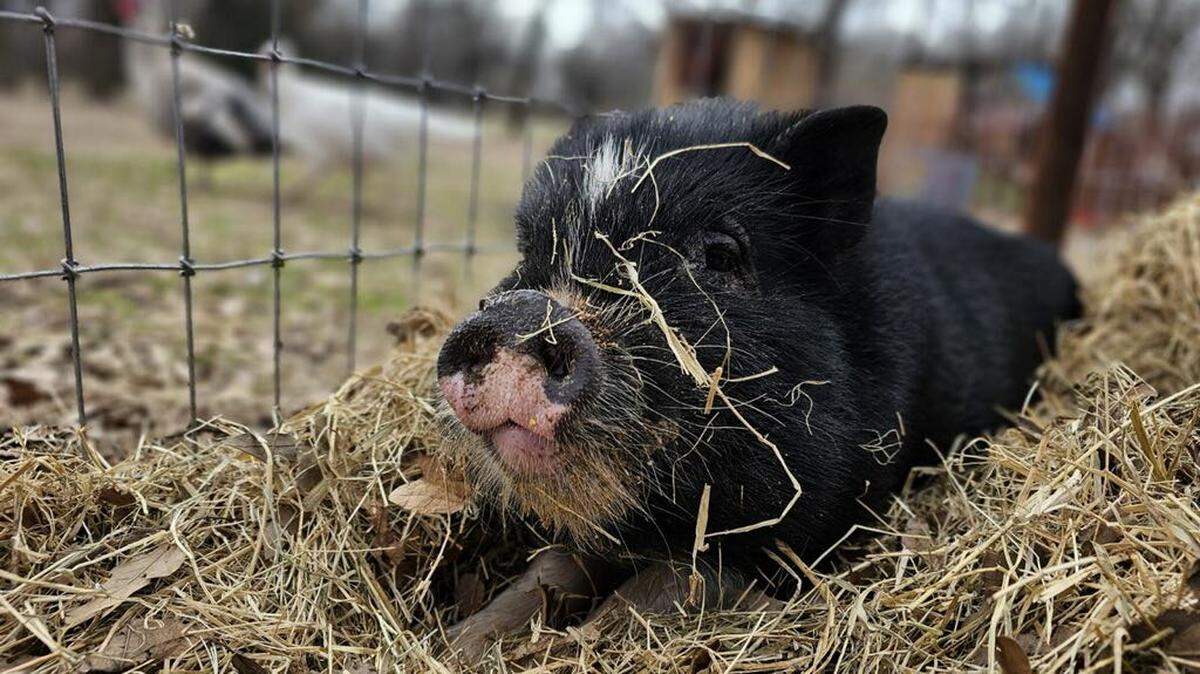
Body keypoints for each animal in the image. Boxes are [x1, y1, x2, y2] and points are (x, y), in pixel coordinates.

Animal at [435, 99, 1080, 658]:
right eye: (528, 251)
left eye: (721, 254)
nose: (522, 314)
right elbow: (548, 569)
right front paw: (456, 646)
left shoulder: (807, 529)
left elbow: (675, 582)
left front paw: (579, 644)